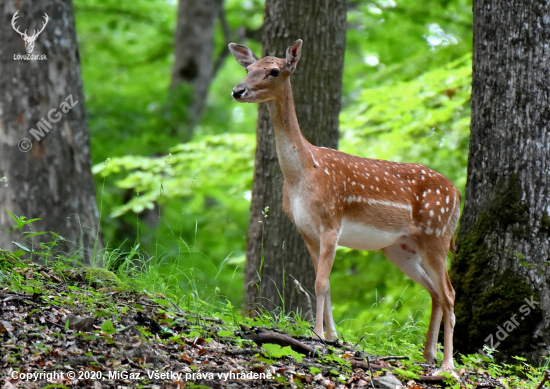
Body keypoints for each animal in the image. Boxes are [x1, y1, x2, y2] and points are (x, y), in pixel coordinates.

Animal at [231, 39, 464, 370]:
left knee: (450, 293)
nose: (238, 90)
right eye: (249, 68)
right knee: (434, 291)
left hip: (437, 234)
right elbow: (325, 283)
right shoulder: (306, 230)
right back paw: (427, 355)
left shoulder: (331, 222)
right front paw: (332, 337)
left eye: (274, 71)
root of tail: (457, 192)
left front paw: (317, 335)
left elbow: (319, 283)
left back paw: (447, 366)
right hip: (401, 248)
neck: (303, 173)